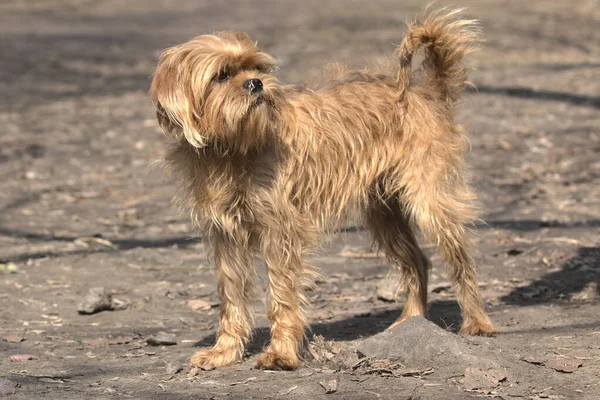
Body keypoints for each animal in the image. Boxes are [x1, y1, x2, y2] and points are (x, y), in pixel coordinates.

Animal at [148, 8, 494, 372]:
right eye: (221, 75)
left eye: (258, 69)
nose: (256, 83)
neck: (231, 148)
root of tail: (426, 92)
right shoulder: (226, 238)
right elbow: (231, 298)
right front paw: (225, 351)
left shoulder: (281, 234)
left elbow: (281, 296)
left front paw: (281, 353)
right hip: (384, 216)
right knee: (417, 262)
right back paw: (411, 321)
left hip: (429, 204)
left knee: (461, 262)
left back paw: (476, 322)